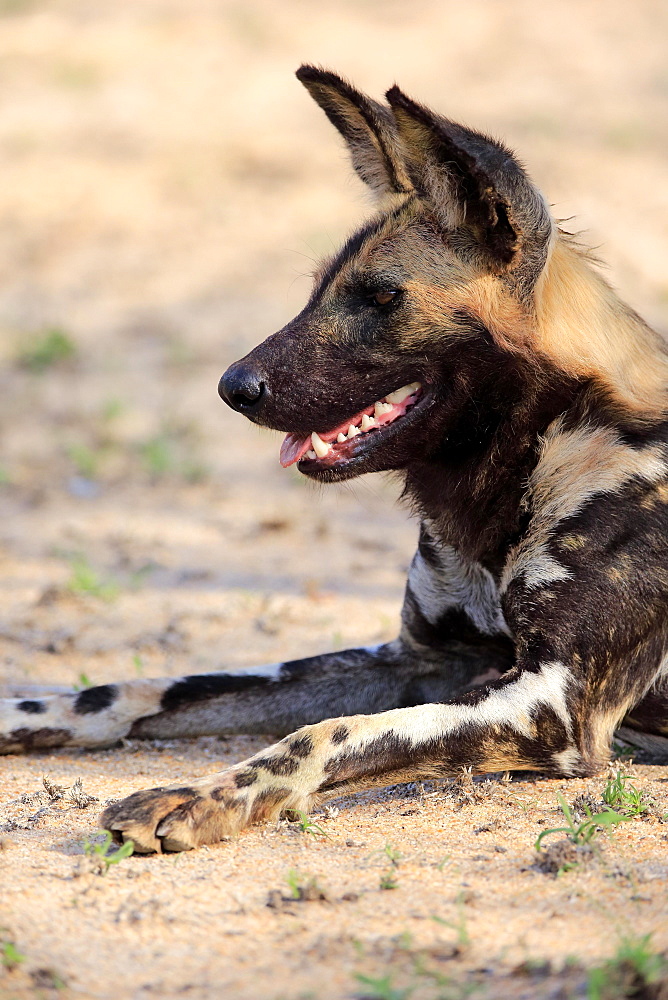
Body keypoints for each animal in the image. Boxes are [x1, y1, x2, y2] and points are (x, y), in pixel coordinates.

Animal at [1, 68, 668, 852]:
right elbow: (145, 686)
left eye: (380, 297)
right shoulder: (420, 661)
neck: (529, 456)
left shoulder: (552, 705)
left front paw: (198, 797)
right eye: (317, 288)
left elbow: (325, 734)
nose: (233, 387)